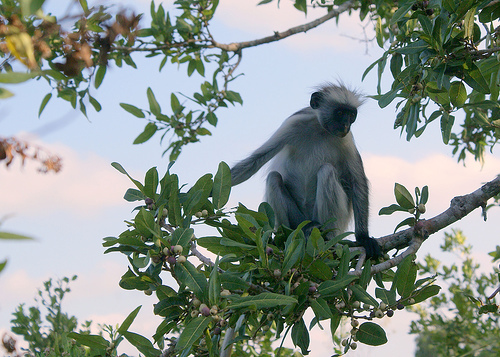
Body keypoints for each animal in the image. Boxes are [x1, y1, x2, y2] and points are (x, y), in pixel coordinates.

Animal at [232, 82, 380, 258]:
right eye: (340, 113)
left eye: (351, 115)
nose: (345, 124)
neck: (321, 130)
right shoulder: (294, 123)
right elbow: (254, 161)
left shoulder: (346, 139)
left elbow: (357, 182)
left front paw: (363, 237)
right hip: (298, 218)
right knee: (274, 177)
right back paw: (291, 234)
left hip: (335, 220)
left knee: (326, 171)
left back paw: (326, 238)